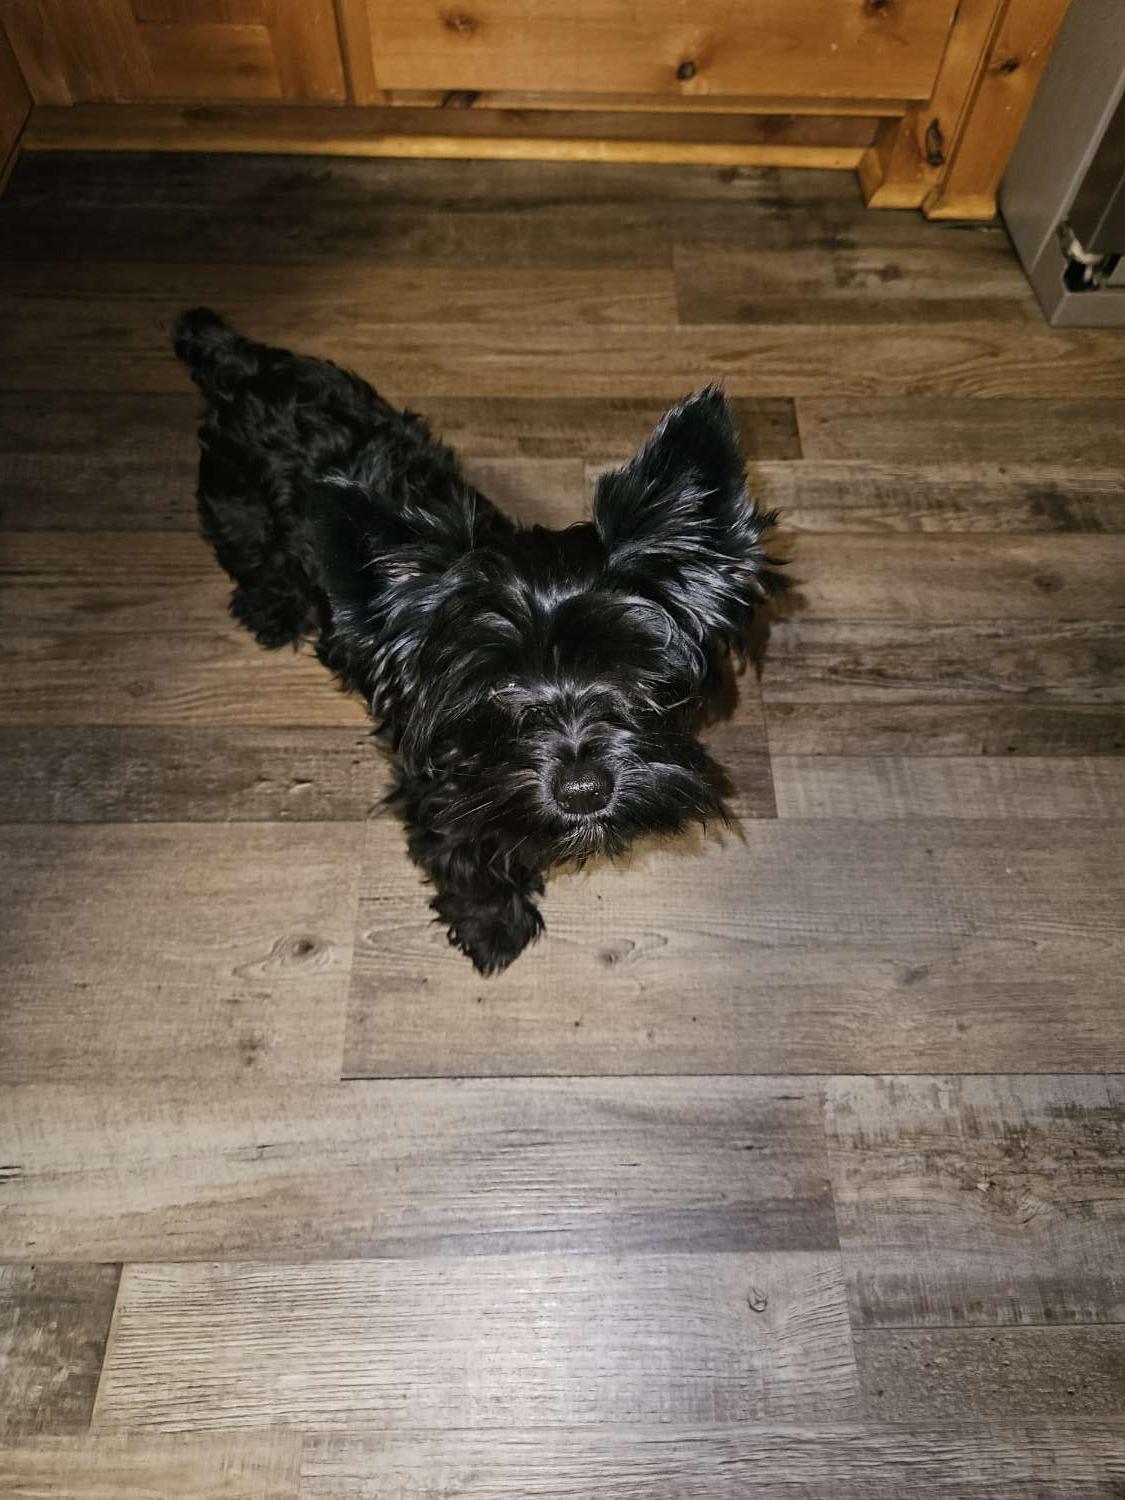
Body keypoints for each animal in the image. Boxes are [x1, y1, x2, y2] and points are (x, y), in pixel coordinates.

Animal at [173, 308, 781, 974]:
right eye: (500, 683)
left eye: (628, 665)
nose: (583, 791)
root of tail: (243, 363)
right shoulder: (436, 791)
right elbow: (465, 857)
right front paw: (493, 925)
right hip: (234, 506)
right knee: (250, 554)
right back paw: (273, 607)